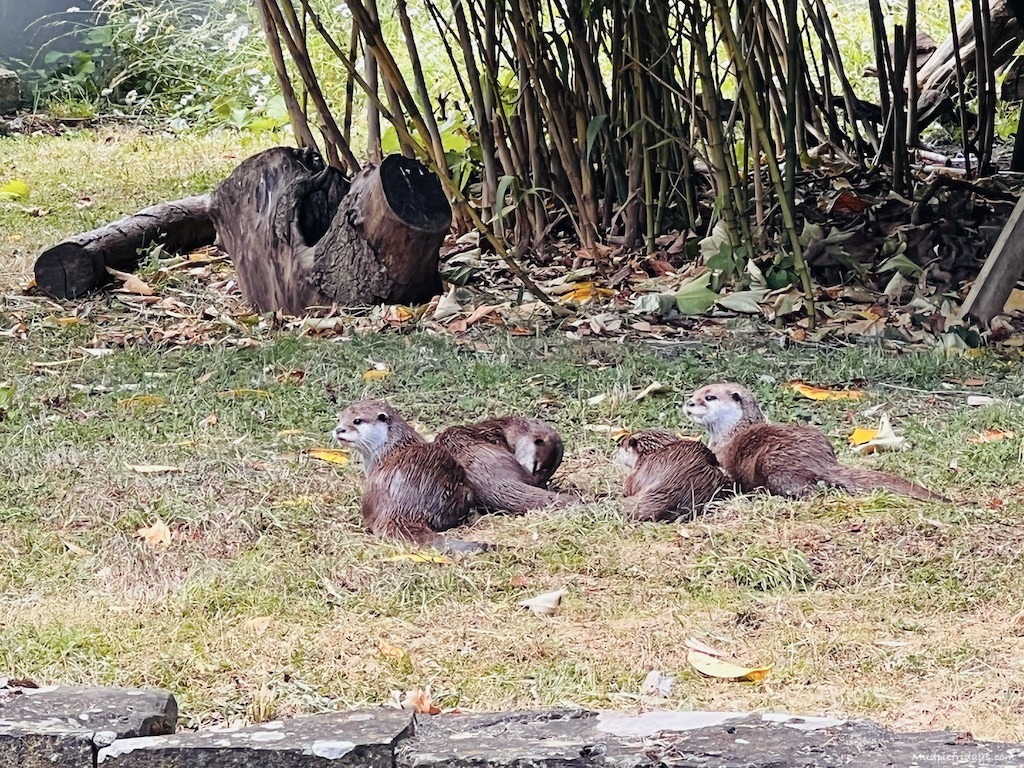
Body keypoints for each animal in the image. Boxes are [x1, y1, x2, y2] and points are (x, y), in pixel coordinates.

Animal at [685, 382, 945, 501]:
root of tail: (822, 461)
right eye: (695, 393)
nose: (689, 403)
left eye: (709, 397)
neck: (731, 433)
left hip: (773, 464)